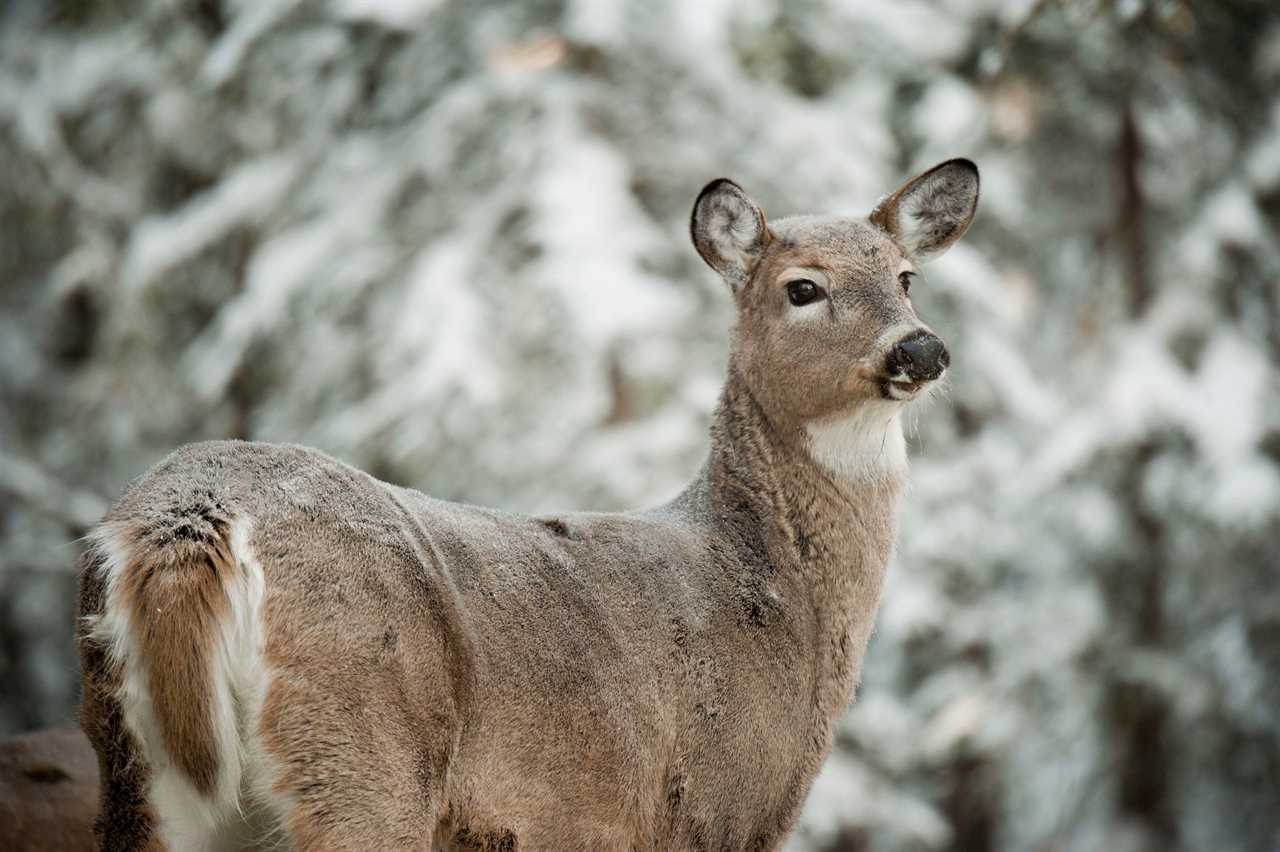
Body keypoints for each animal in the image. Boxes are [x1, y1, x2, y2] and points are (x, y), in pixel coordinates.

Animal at [77, 159, 977, 849]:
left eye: (906, 278)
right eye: (802, 288)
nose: (921, 348)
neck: (777, 594)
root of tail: (190, 514)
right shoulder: (715, 803)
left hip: (139, 770)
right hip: (361, 742)